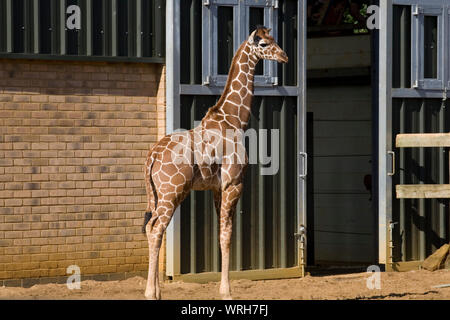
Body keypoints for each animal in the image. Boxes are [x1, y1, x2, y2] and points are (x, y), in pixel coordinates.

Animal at [142, 25, 288, 300]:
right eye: (263, 44)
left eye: (273, 38)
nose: (284, 56)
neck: (234, 119)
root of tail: (151, 157)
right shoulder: (234, 184)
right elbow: (227, 234)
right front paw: (226, 291)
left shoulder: (216, 188)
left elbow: (220, 233)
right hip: (171, 192)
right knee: (156, 228)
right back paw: (149, 292)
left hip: (158, 194)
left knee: (150, 227)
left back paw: (156, 290)